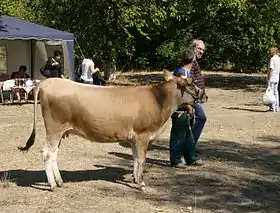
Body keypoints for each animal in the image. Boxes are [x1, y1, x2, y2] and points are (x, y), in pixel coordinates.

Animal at [17, 70, 206, 192]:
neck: (158, 100)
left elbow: (135, 159)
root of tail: (47, 82)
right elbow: (141, 160)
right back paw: (52, 185)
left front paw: (135, 179)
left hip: (59, 132)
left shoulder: (134, 138)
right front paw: (140, 183)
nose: (205, 95)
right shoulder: (143, 135)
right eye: (191, 84)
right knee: (47, 152)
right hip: (54, 129)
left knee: (54, 154)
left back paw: (60, 181)